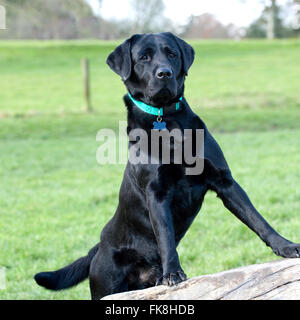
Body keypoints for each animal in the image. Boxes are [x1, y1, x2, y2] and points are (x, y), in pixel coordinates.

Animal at [34, 32, 298, 300]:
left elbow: (257, 219)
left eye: (171, 53)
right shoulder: (157, 192)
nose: (164, 73)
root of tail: (97, 248)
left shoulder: (224, 181)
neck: (166, 119)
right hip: (105, 285)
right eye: (143, 57)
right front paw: (172, 272)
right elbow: (165, 236)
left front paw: (285, 246)